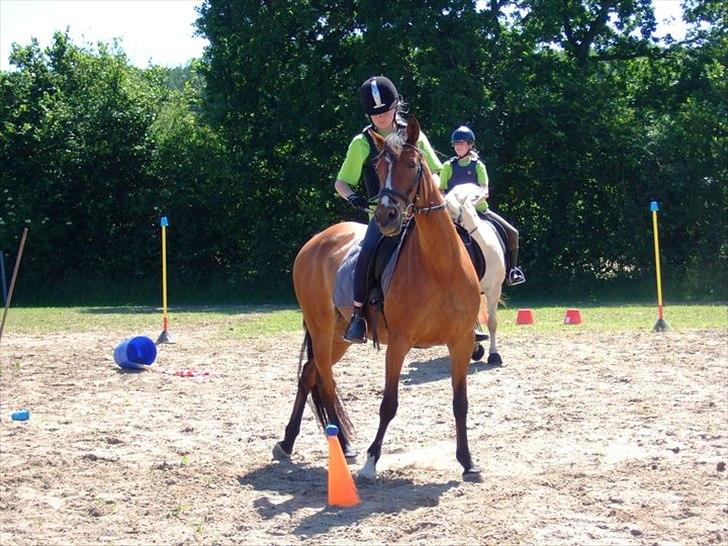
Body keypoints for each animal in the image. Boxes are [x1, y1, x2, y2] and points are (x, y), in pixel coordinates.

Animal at [273, 116, 484, 481]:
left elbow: (460, 403)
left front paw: (468, 462)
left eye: (412, 165)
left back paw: (296, 442)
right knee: (325, 379)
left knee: (310, 374)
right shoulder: (398, 343)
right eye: (378, 167)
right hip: (322, 328)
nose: (386, 216)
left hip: (338, 336)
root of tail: (315, 242)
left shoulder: (461, 341)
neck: (440, 264)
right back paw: (342, 447)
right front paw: (373, 460)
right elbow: (389, 404)